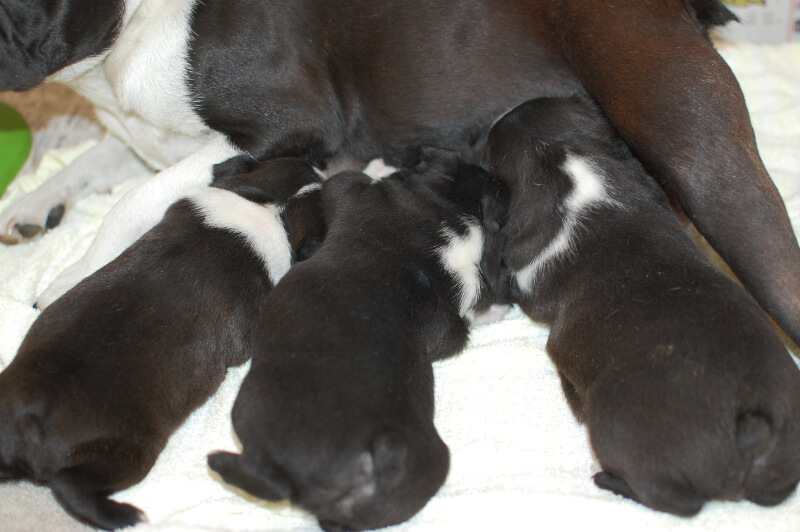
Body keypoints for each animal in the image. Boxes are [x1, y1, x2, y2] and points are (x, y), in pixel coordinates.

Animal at [0, 157, 324, 528]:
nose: (321, 168)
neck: (271, 203)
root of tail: (29, 418)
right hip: (128, 451)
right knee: (70, 487)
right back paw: (126, 514)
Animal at [208, 147, 506, 532]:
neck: (454, 216)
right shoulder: (453, 317)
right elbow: (464, 321)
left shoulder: (350, 190)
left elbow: (346, 180)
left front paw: (378, 165)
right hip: (421, 471)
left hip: (252, 413)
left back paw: (219, 462)